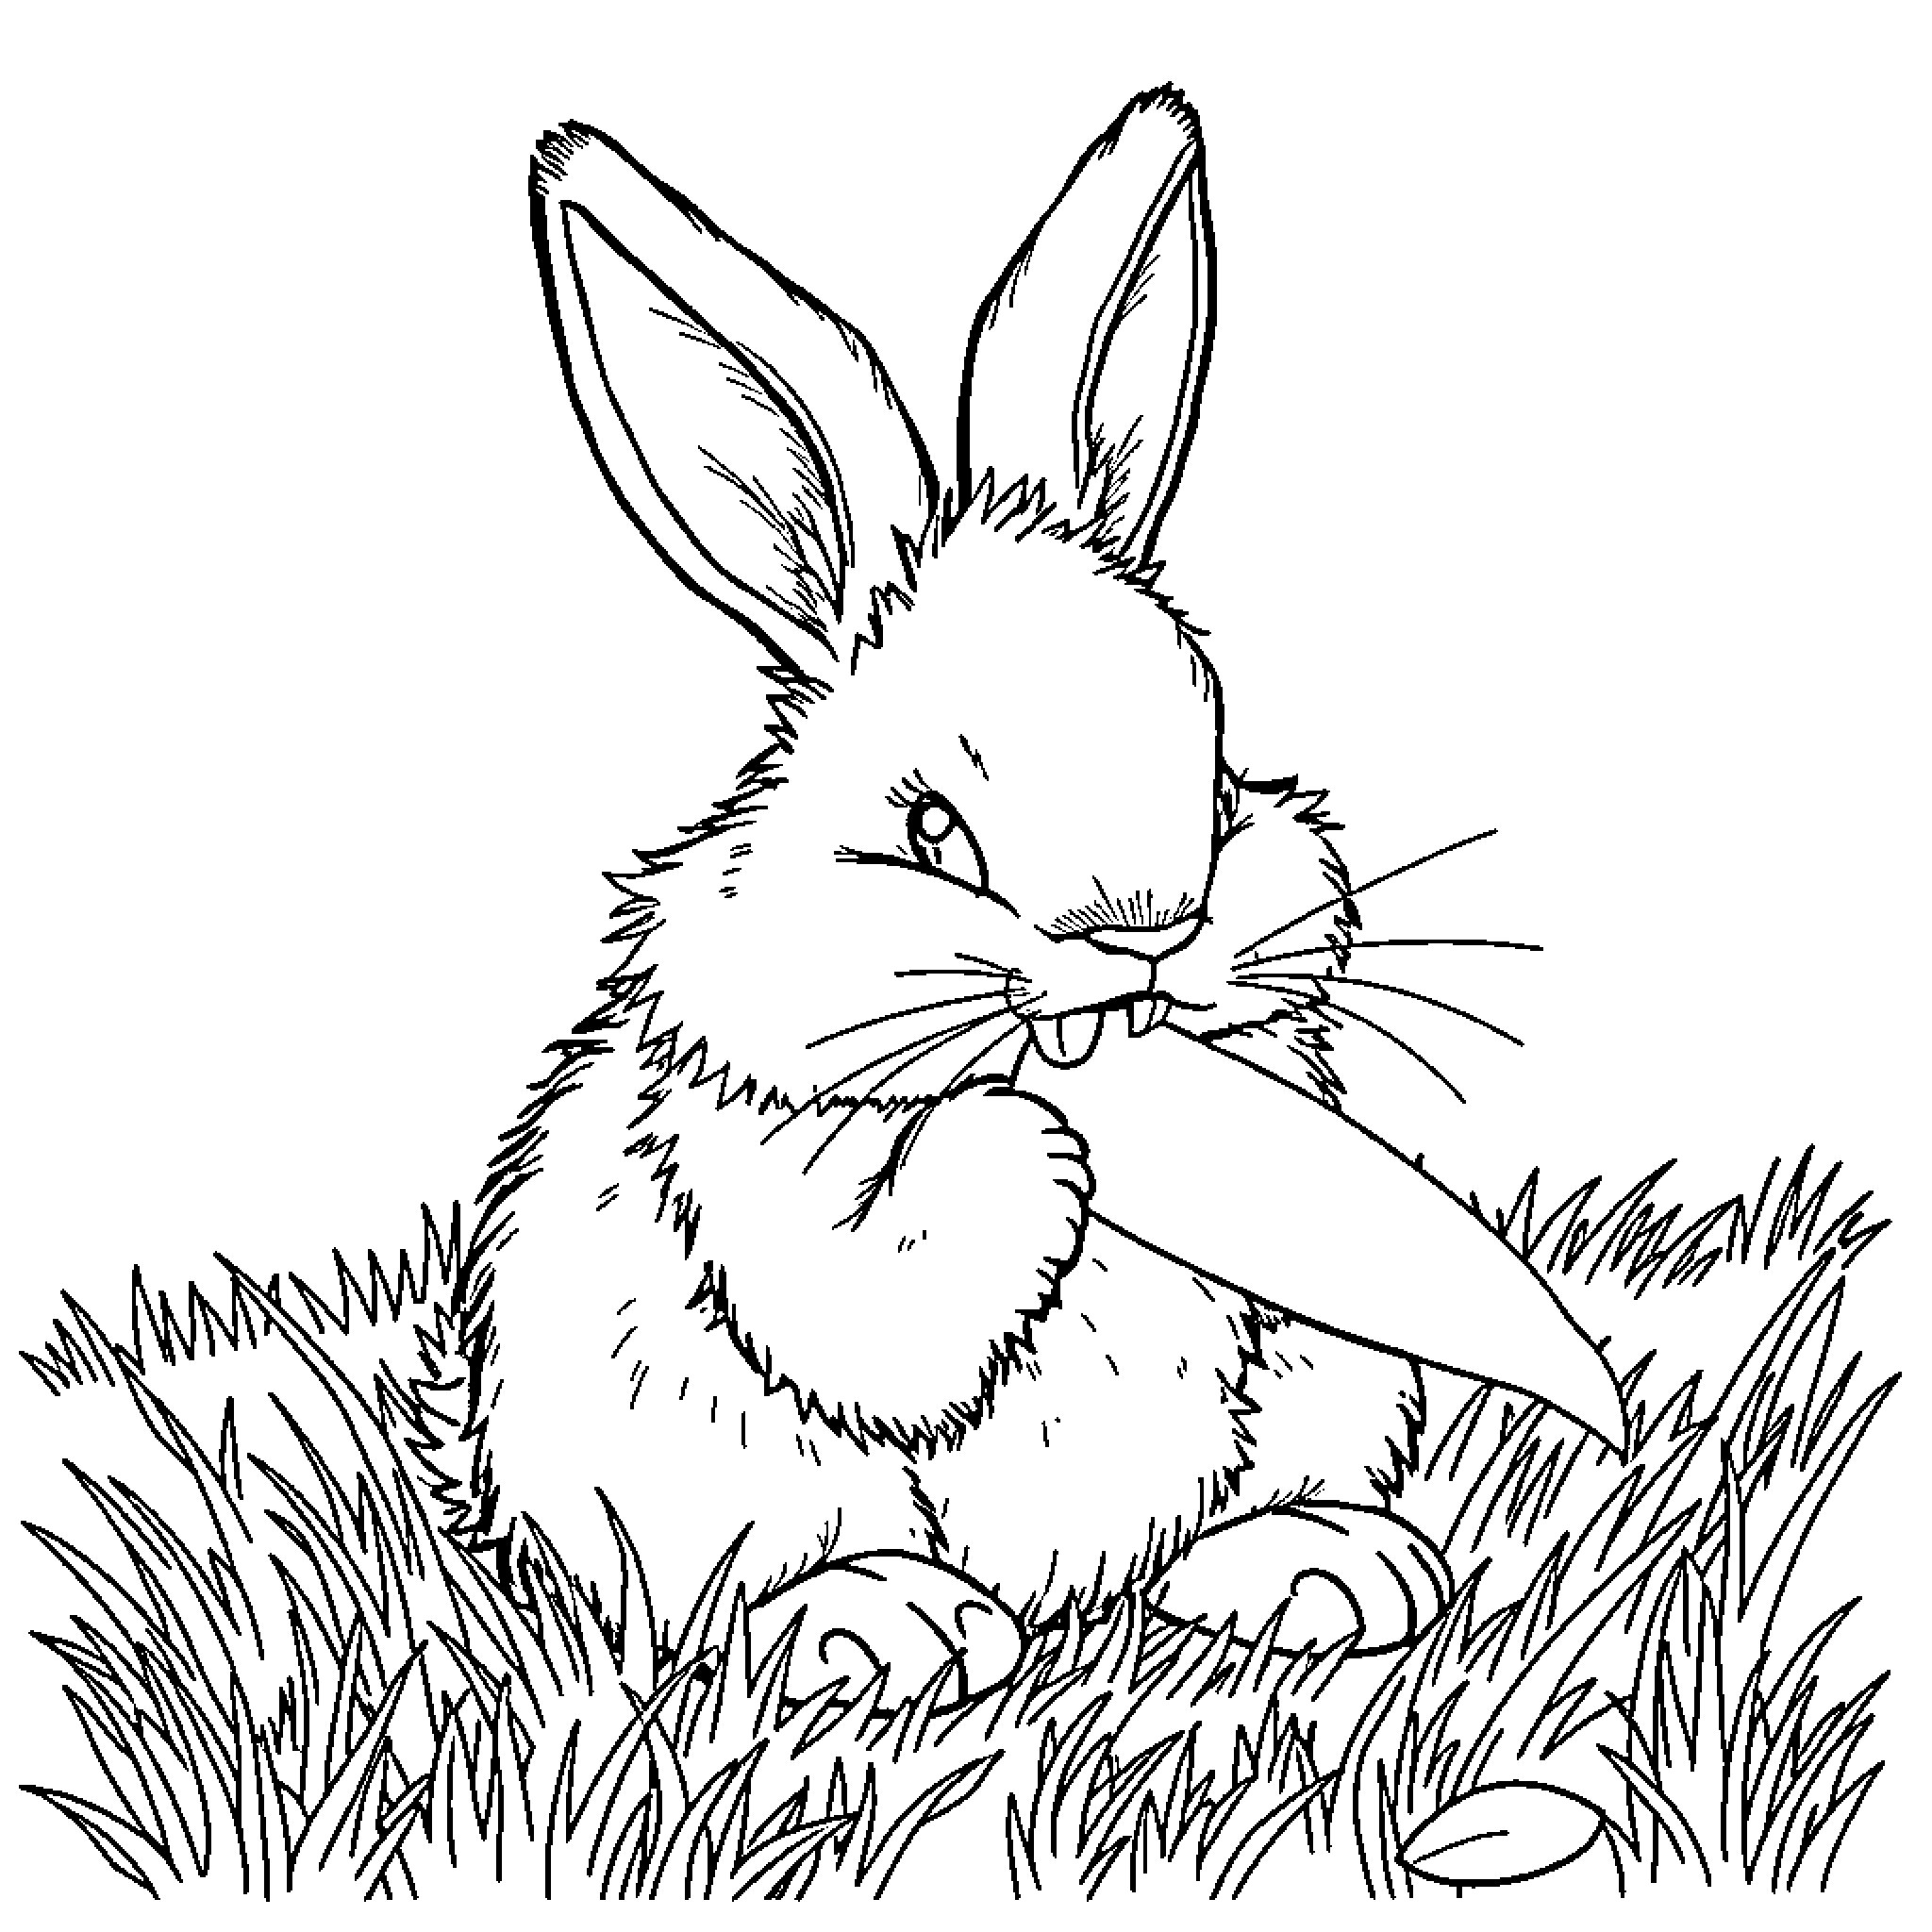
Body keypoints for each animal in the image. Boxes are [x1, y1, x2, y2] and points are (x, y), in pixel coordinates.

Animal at [423, 86, 1454, 1703]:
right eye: (931, 831)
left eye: (1215, 787)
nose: (1143, 945)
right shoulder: (764, 1173)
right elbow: (886, 1284)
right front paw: (1034, 1153)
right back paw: (882, 1623)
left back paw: (1324, 1572)